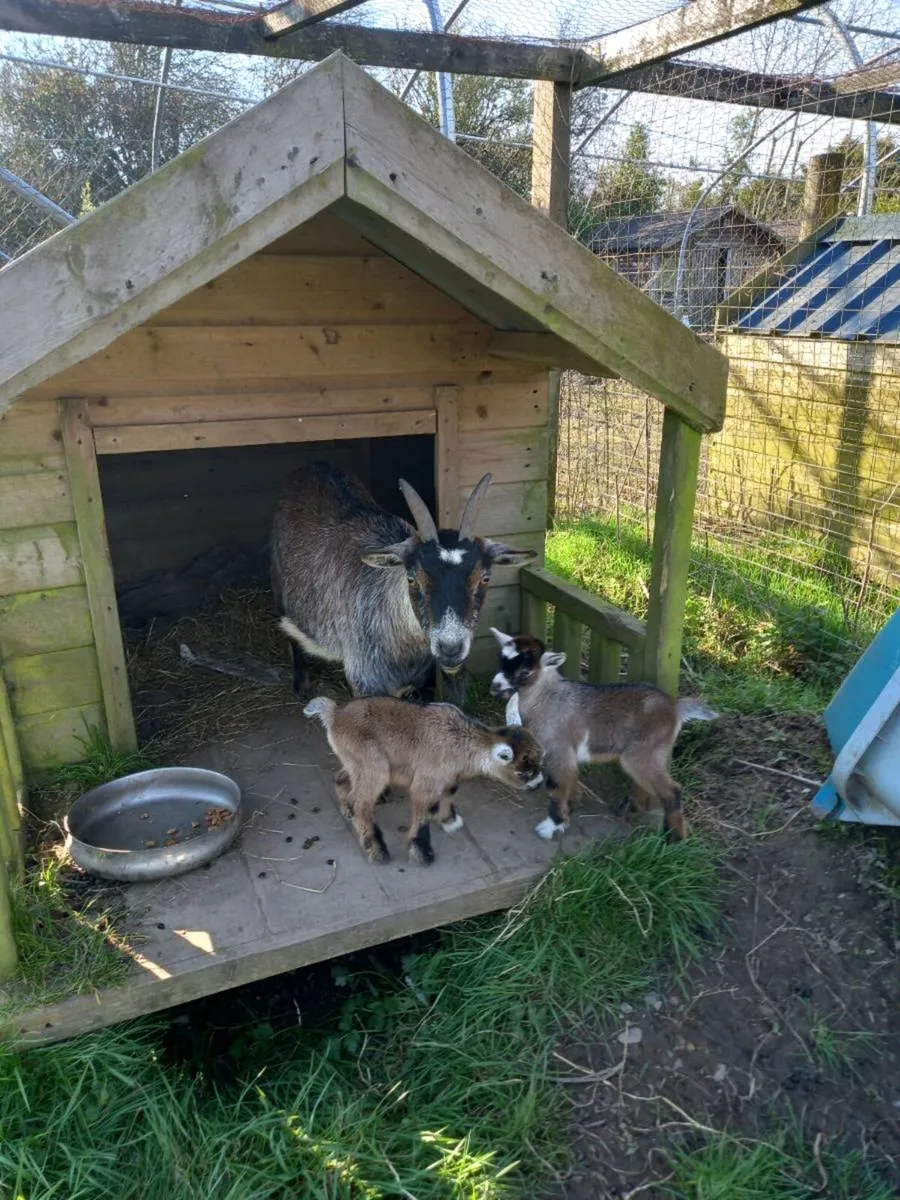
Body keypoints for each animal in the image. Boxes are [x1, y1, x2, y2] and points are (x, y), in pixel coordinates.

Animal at [271, 463, 536, 698]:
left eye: (485, 577)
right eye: (411, 578)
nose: (450, 649)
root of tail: (312, 465)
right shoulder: (364, 682)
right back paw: (301, 684)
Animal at [304, 695, 544, 865]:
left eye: (541, 761)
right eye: (523, 773)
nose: (539, 784)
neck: (463, 741)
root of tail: (335, 714)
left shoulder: (448, 778)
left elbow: (449, 793)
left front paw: (449, 821)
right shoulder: (427, 780)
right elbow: (426, 809)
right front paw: (421, 854)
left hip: (356, 761)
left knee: (342, 778)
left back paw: (347, 809)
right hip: (374, 764)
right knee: (362, 803)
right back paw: (378, 851)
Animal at [488, 629, 717, 842]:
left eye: (525, 671)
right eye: (502, 660)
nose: (495, 686)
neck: (546, 698)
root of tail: (675, 708)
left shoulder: (559, 750)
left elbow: (556, 786)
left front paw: (553, 825)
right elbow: (569, 782)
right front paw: (570, 808)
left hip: (644, 752)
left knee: (672, 790)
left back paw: (674, 839)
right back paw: (631, 812)